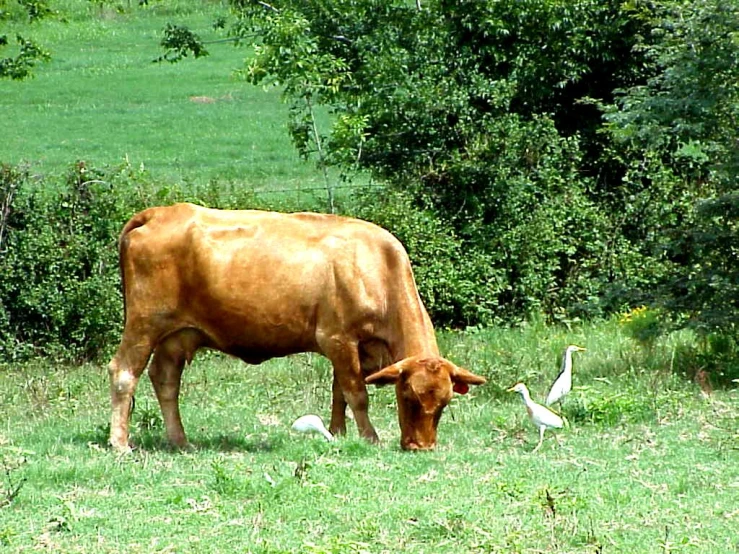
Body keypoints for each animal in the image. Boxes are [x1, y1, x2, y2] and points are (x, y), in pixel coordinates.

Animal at [105, 201, 486, 450]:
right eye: (407, 396)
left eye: (444, 403)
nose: (421, 447)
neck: (376, 265)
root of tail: (157, 212)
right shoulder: (337, 338)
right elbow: (356, 393)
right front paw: (370, 437)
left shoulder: (351, 347)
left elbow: (339, 392)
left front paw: (338, 432)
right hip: (144, 323)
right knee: (124, 373)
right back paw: (120, 443)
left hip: (177, 335)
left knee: (165, 380)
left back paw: (181, 441)